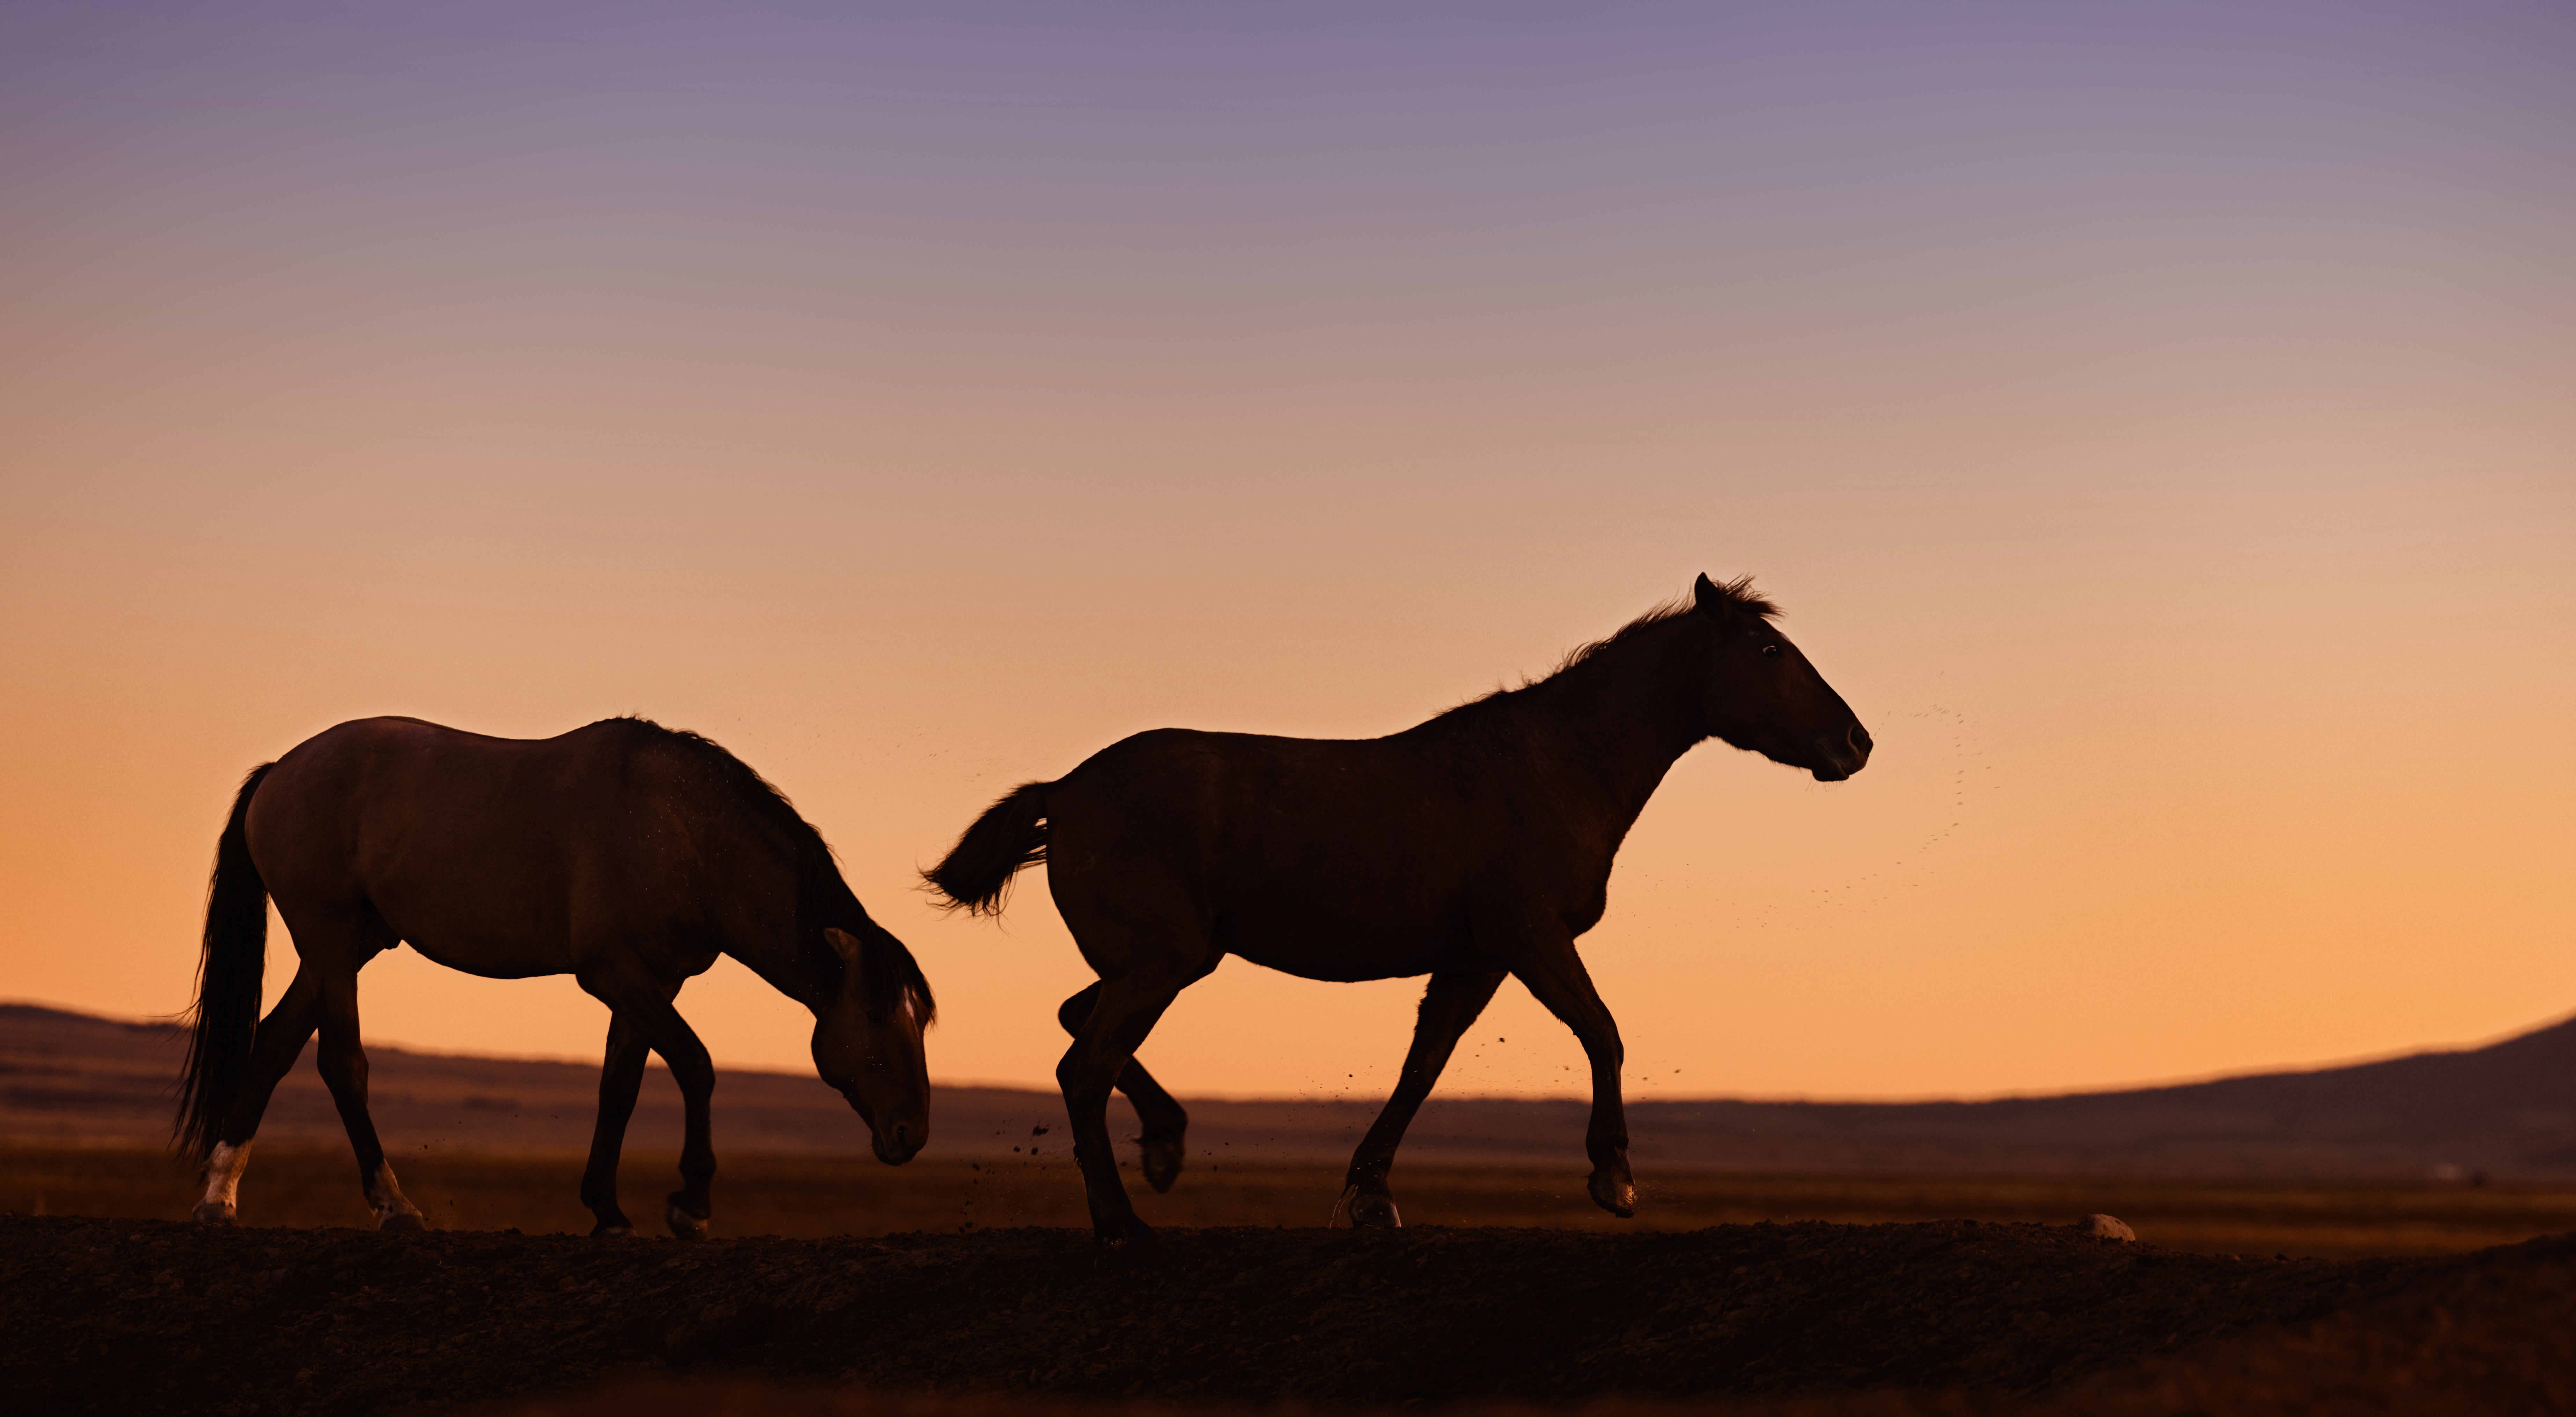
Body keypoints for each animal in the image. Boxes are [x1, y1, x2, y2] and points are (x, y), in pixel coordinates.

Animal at [174, 715, 935, 1238]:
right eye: (875, 1014)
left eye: (920, 1017)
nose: (912, 1133)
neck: (686, 835)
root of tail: (280, 770)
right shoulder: (614, 973)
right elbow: (696, 1064)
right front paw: (690, 1203)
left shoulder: (651, 983)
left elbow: (620, 1087)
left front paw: (608, 1208)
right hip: (331, 940)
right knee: (342, 1063)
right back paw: (394, 1205)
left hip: (349, 943)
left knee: (274, 1043)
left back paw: (219, 1197)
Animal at [924, 574, 1868, 1245]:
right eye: (1767, 648)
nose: (1854, 742)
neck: (1555, 766)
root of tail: (1063, 790)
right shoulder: (1531, 938)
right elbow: (1601, 1029)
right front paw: (1612, 1175)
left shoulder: (1474, 959)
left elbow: (1424, 1066)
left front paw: (1372, 1194)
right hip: (1162, 963)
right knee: (1083, 1064)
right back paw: (1123, 1220)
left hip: (1165, 962)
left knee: (1076, 1024)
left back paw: (1164, 1141)